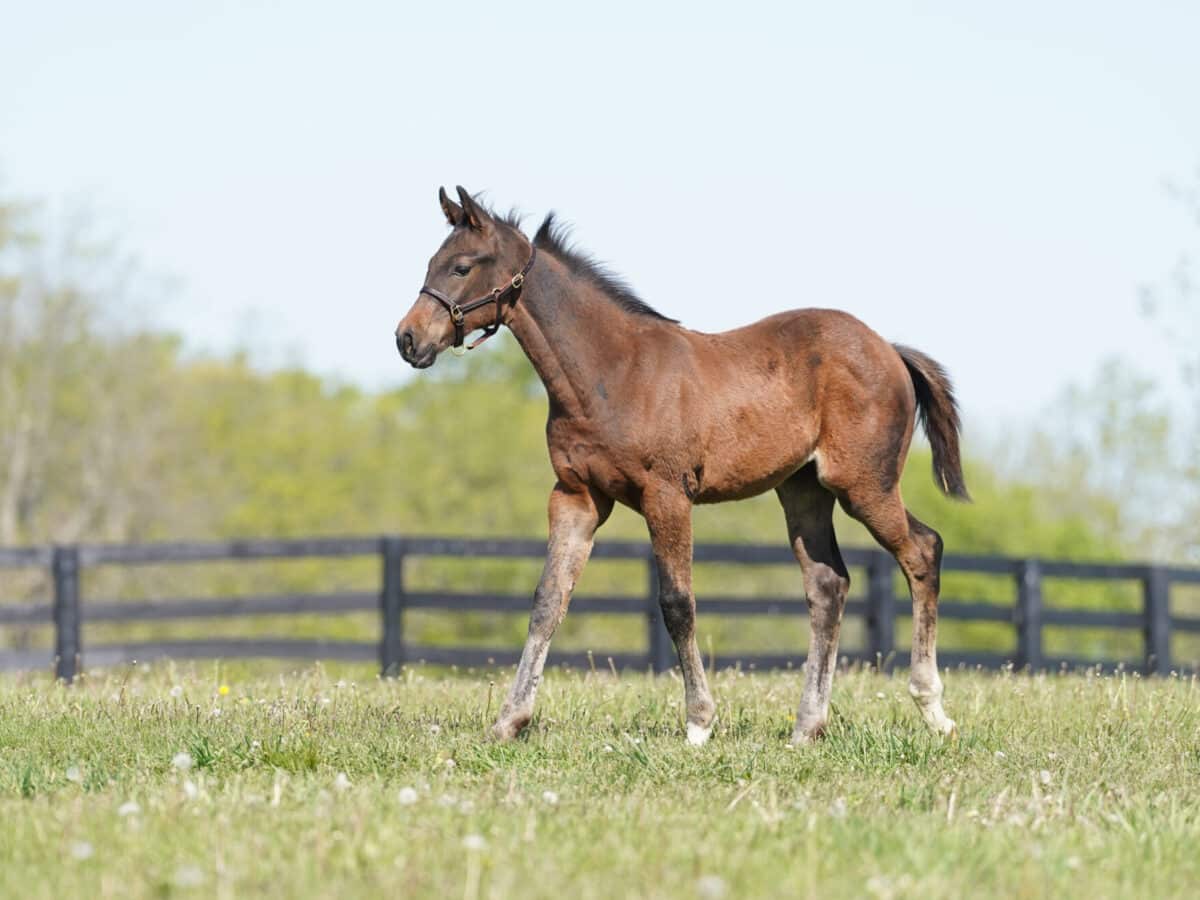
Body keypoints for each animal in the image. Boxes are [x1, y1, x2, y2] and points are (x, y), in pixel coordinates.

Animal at [398, 188, 969, 748]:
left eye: (461, 266)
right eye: (431, 263)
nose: (407, 339)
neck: (612, 373)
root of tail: (889, 350)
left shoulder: (667, 494)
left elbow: (677, 602)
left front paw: (699, 722)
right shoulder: (576, 496)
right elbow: (548, 599)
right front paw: (509, 721)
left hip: (863, 485)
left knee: (923, 551)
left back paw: (934, 710)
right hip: (803, 490)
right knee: (828, 584)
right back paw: (808, 727)